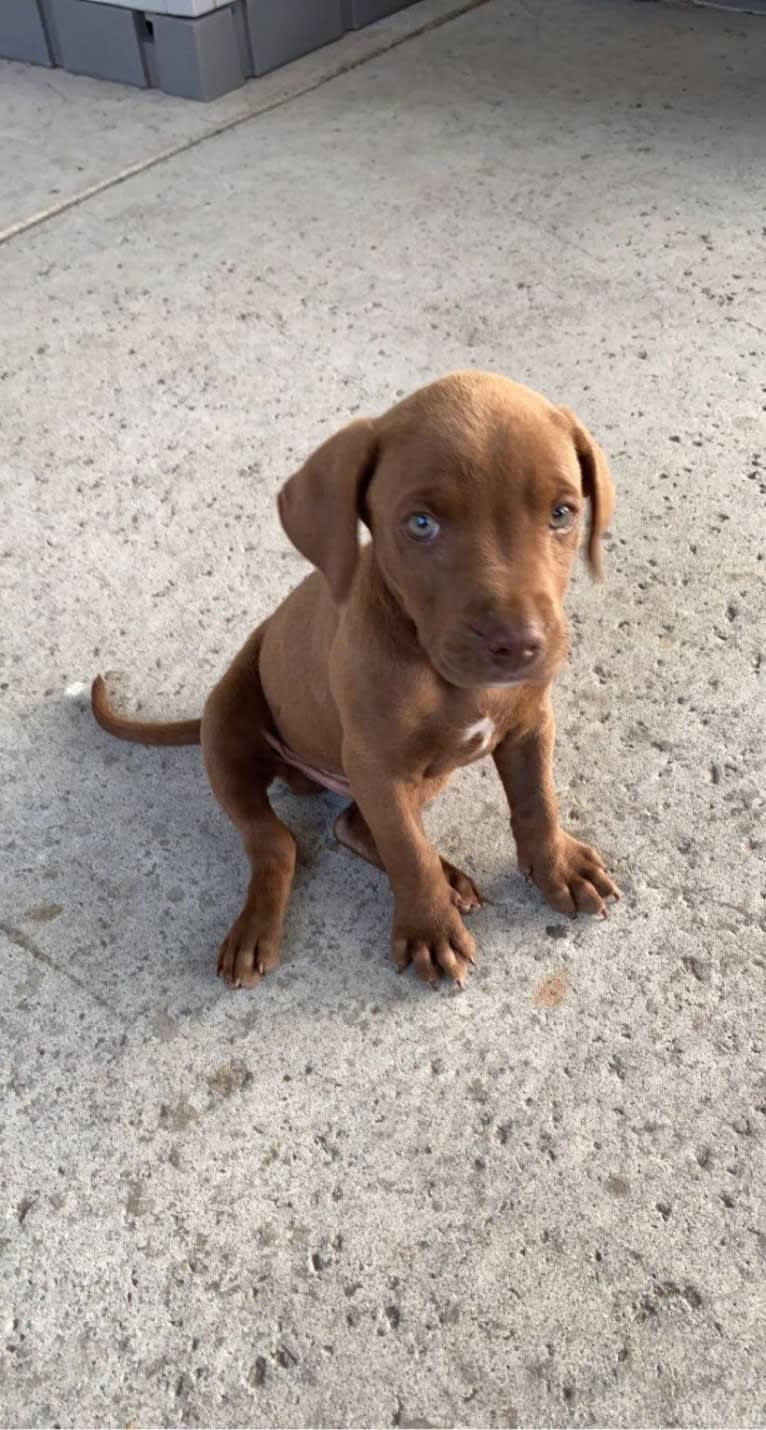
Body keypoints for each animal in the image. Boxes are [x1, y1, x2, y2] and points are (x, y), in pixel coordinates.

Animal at [94, 374, 623, 989]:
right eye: (421, 524)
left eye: (562, 513)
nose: (517, 645)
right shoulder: (377, 764)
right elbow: (406, 850)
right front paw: (429, 930)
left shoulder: (529, 726)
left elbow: (537, 799)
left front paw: (558, 866)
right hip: (226, 727)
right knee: (277, 841)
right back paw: (260, 929)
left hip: (425, 772)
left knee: (353, 823)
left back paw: (450, 878)